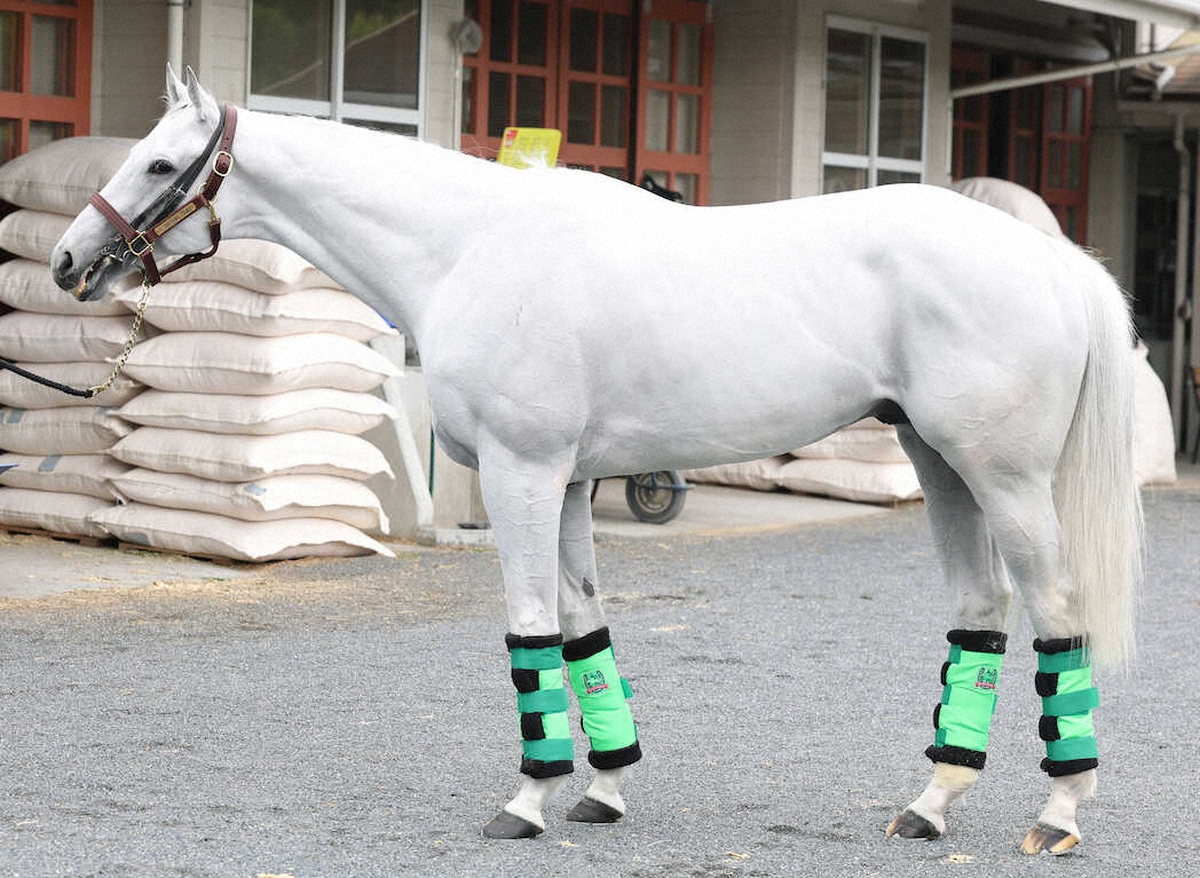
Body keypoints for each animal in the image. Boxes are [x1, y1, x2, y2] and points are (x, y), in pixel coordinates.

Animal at [51, 68, 1141, 853]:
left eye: (159, 164)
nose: (68, 263)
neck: (471, 246)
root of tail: (1050, 257)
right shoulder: (569, 480)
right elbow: (583, 628)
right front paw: (605, 788)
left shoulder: (524, 471)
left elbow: (532, 626)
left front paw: (527, 800)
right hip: (939, 463)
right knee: (982, 612)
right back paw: (931, 801)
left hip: (1002, 477)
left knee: (1057, 614)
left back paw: (1059, 813)